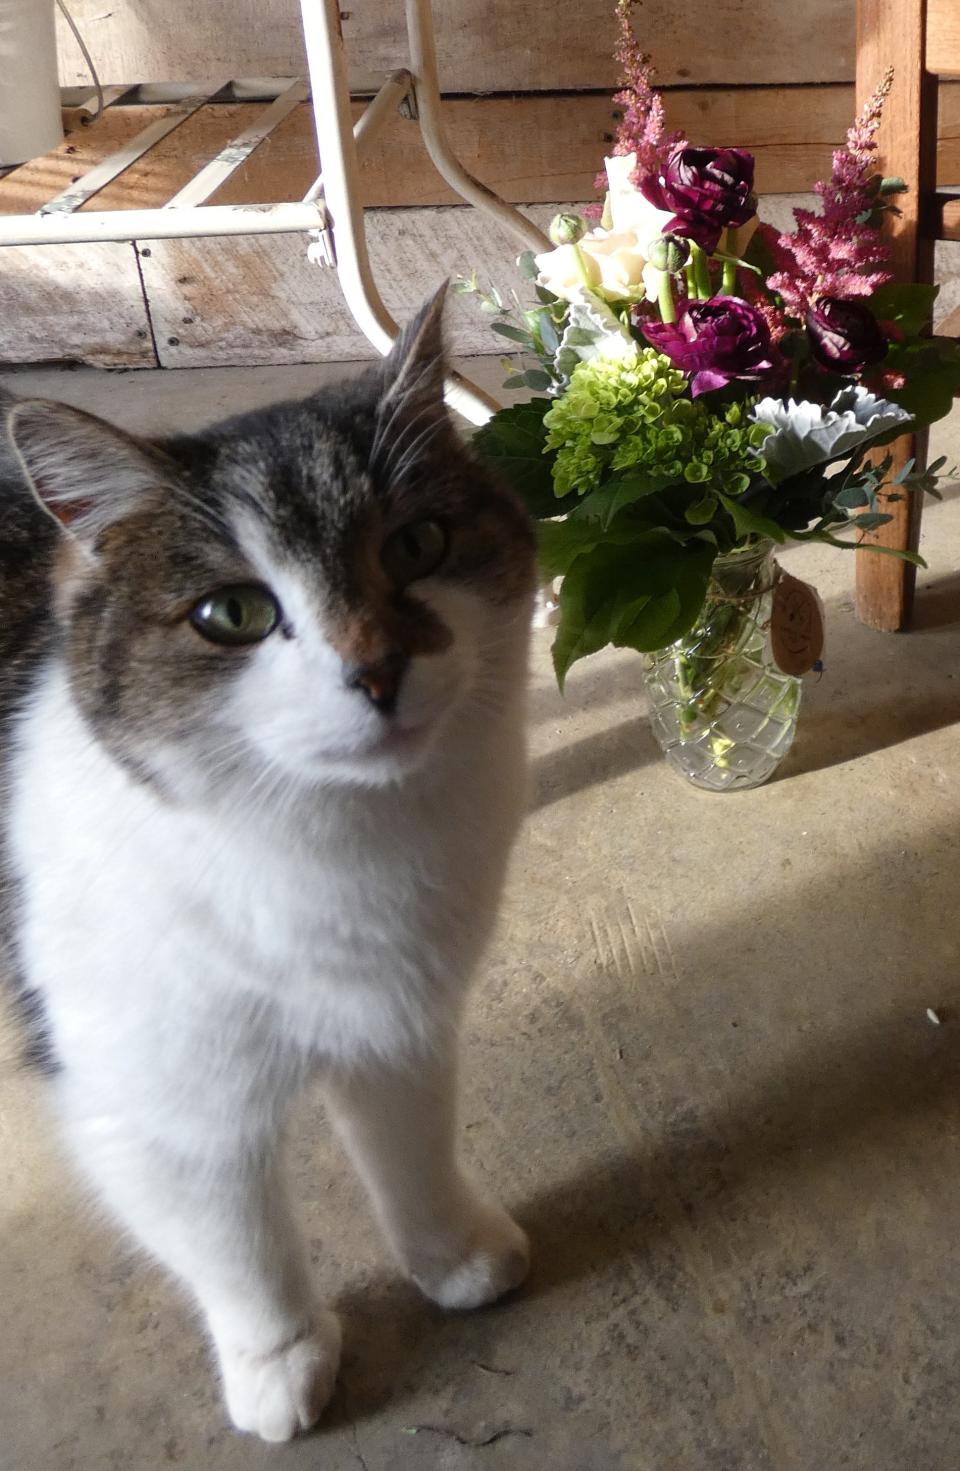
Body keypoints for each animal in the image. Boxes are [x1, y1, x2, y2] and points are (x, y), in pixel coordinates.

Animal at [0, 289, 535, 1447]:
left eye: (419, 543)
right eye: (232, 614)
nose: (377, 669)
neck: (316, 837)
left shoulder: (397, 1018)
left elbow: (411, 1146)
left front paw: (453, 1255)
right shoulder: (161, 1105)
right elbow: (235, 1242)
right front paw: (279, 1359)